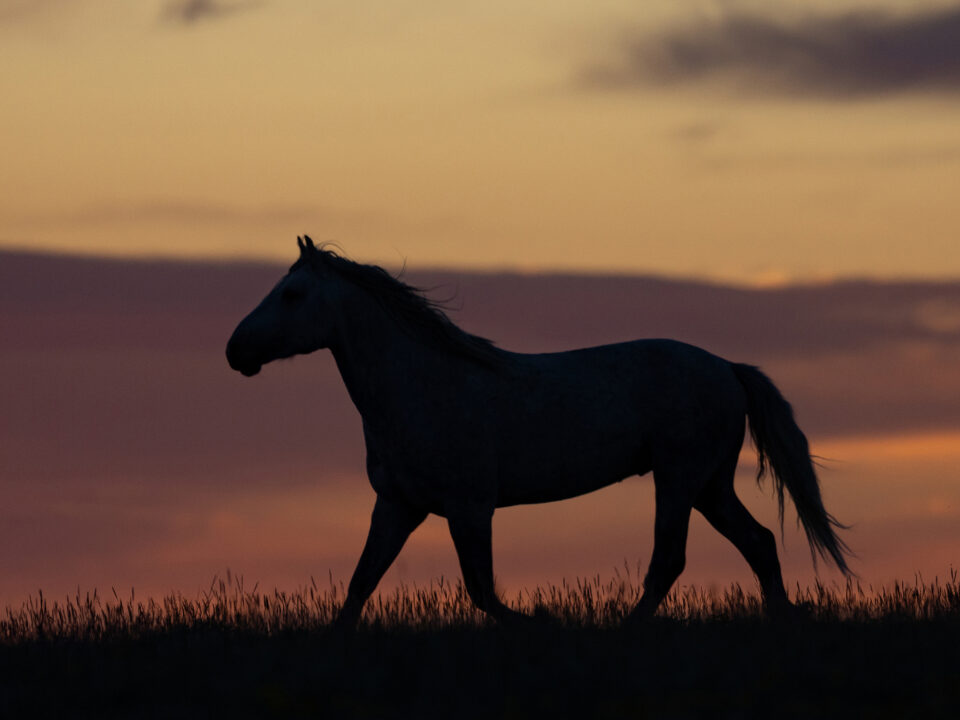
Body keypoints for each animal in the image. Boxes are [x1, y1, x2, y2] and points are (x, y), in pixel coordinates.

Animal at [225, 235, 848, 624]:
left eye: (292, 294)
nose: (235, 351)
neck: (423, 387)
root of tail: (727, 368)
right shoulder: (398, 506)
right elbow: (360, 585)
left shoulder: (469, 507)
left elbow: (482, 591)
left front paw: (541, 619)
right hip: (709, 485)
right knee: (759, 542)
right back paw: (781, 618)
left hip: (679, 479)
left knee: (670, 560)